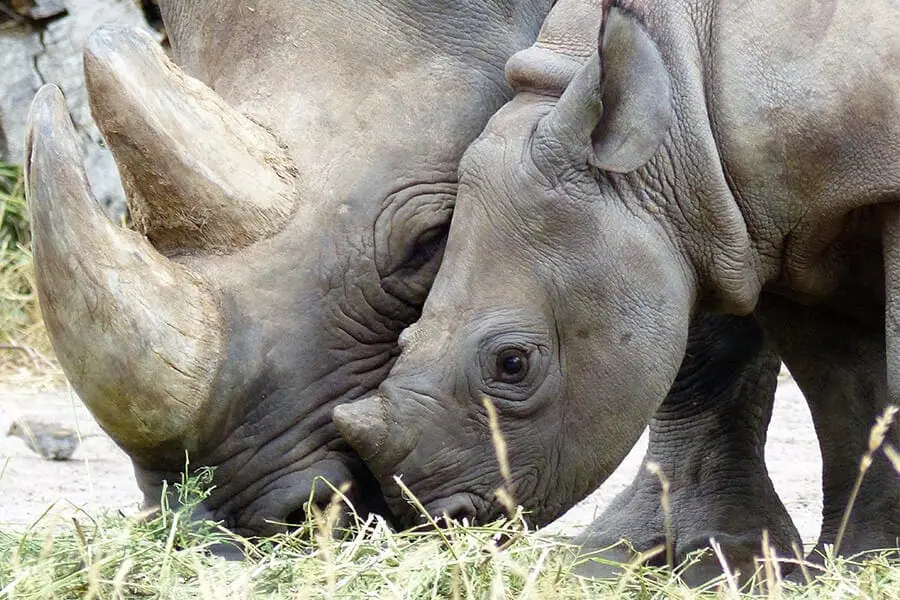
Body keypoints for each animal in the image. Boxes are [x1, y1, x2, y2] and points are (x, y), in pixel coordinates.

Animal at [336, 0, 900, 572]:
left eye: (512, 363)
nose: (430, 519)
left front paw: (867, 562)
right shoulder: (779, 220)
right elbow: (845, 397)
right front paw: (858, 560)